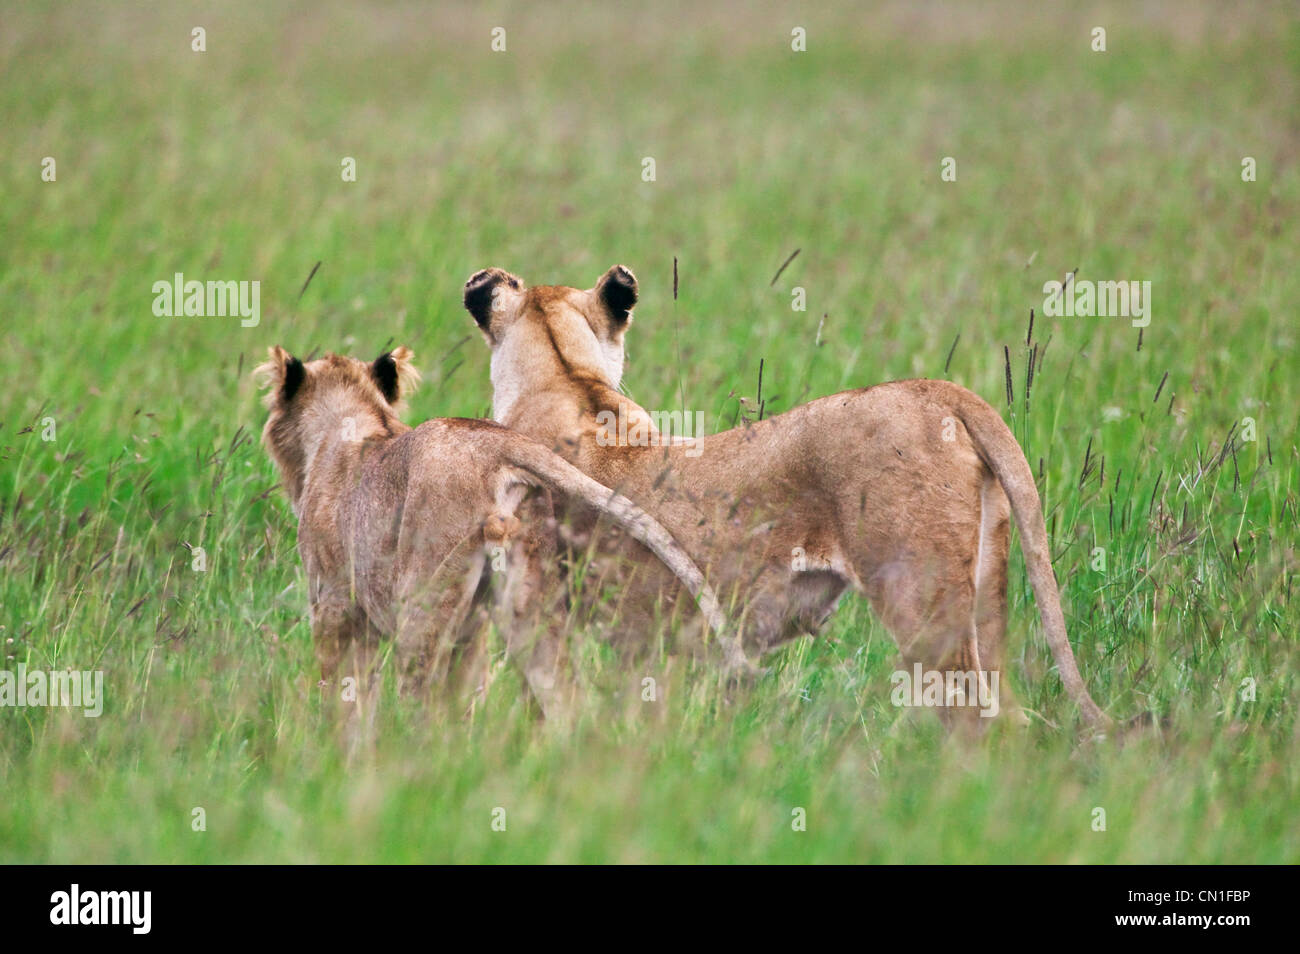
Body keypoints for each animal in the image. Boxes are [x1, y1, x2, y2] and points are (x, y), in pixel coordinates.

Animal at [253, 343, 733, 722]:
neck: (353, 420)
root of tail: (500, 444)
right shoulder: (471, 632)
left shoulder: (334, 605)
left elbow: (346, 703)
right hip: (527, 604)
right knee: (566, 701)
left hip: (422, 601)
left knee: (420, 702)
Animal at [457, 265, 1107, 727]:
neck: (567, 381)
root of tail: (942, 391)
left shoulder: (535, 604)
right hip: (987, 595)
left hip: (921, 599)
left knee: (969, 713)